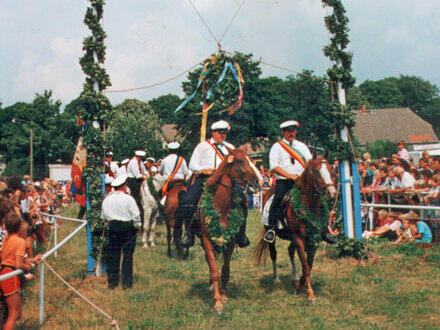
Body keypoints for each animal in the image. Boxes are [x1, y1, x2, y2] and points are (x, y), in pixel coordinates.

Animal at [197, 148, 262, 314]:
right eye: (239, 161)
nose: (259, 181)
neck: (221, 208)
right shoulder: (206, 239)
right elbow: (214, 270)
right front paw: (217, 302)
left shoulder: (230, 241)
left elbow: (225, 269)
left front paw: (224, 296)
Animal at [253, 156, 336, 302]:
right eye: (316, 171)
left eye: (331, 169)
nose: (331, 193)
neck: (308, 206)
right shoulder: (299, 238)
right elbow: (305, 265)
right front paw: (310, 294)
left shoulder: (312, 240)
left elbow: (308, 265)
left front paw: (300, 286)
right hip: (274, 235)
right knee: (274, 254)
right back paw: (276, 279)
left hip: (292, 238)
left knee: (290, 251)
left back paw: (295, 276)